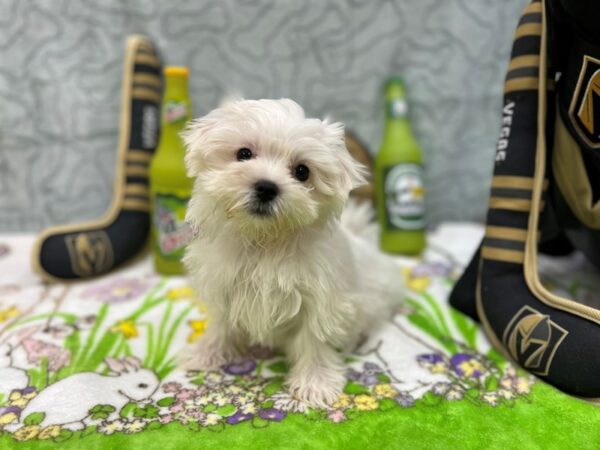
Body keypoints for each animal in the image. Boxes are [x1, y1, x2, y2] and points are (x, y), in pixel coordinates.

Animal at [14, 356, 159, 430]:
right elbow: (114, 416)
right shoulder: (113, 406)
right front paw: (124, 420)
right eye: (142, 385)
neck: (117, 386)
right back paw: (78, 426)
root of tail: (22, 421)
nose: (157, 387)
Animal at [179, 99, 404, 408]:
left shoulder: (320, 299)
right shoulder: (225, 285)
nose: (266, 187)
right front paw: (206, 354)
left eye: (302, 171)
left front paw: (315, 383)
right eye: (244, 153)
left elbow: (314, 339)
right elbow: (221, 326)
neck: (265, 241)